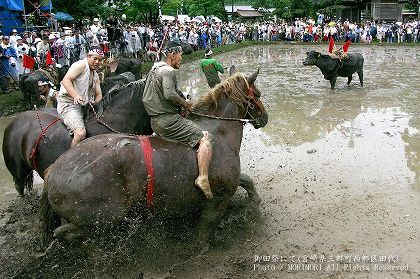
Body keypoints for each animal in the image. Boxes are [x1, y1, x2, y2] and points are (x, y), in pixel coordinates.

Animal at [41, 69, 268, 247]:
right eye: (257, 93)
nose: (265, 117)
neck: (218, 131)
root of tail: (52, 170)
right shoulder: (218, 201)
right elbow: (204, 231)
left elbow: (247, 180)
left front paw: (254, 201)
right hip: (105, 219)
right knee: (70, 231)